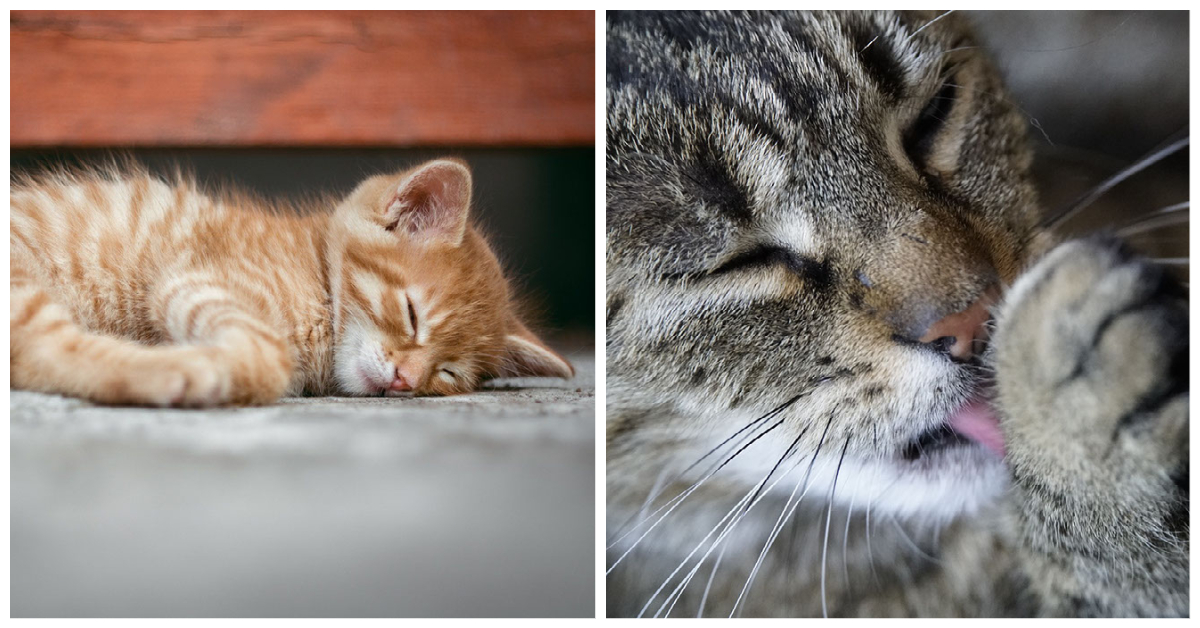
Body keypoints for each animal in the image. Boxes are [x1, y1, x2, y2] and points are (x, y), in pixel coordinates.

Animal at [8, 154, 571, 405]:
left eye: (448, 373)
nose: (405, 379)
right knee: (39, 350)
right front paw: (228, 367)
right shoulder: (196, 279)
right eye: (412, 315)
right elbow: (268, 355)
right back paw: (174, 371)